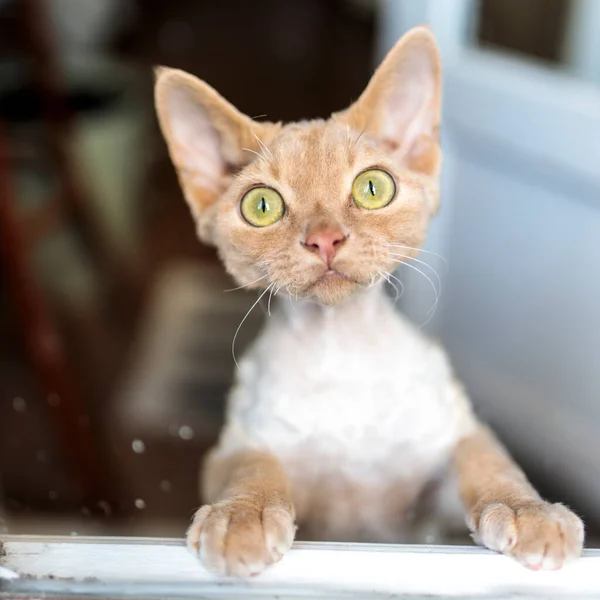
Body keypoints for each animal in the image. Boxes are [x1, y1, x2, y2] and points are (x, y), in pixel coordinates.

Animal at [152, 25, 584, 576]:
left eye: (372, 188)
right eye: (261, 205)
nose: (325, 239)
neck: (342, 349)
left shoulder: (443, 462)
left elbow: (489, 462)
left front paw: (529, 512)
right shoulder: (233, 451)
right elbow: (252, 464)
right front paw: (242, 517)